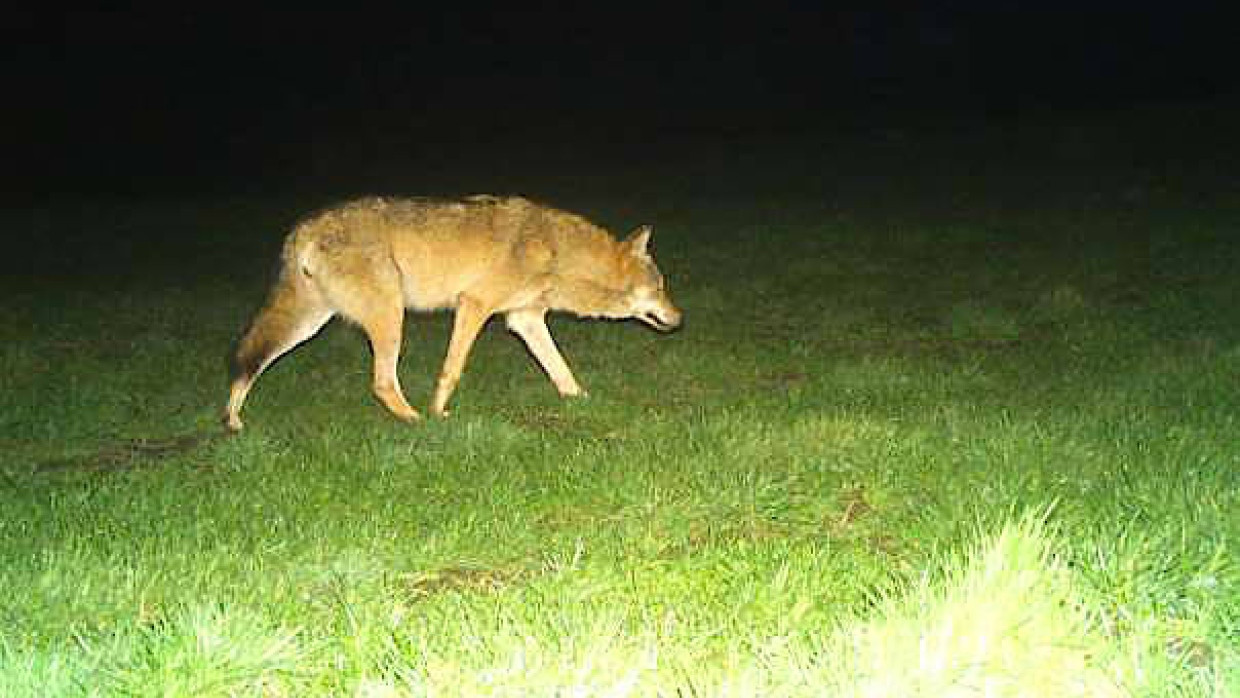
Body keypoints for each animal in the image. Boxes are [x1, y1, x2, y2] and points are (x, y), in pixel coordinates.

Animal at [228, 193, 684, 428]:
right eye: (661, 288)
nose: (681, 319)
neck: (558, 252)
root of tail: (303, 228)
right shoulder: (474, 305)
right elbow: (453, 368)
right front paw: (438, 410)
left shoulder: (525, 320)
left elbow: (561, 370)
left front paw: (582, 401)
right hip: (390, 316)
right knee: (381, 383)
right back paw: (417, 421)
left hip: (306, 326)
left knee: (248, 363)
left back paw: (231, 420)